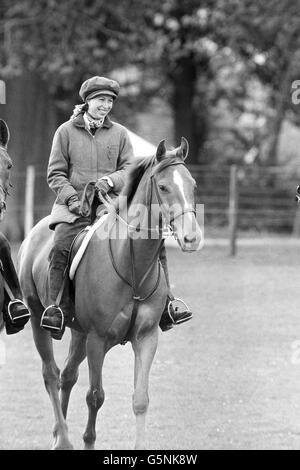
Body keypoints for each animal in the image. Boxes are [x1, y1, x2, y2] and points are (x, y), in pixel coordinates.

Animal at [17, 136, 203, 448]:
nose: (192, 238)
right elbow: (95, 396)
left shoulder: (146, 338)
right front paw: (88, 440)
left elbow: (140, 400)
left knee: (66, 376)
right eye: (164, 187)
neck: (132, 267)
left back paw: (58, 434)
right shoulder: (97, 339)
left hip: (78, 333)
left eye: (193, 185)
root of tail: (34, 232)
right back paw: (63, 437)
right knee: (51, 375)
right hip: (38, 320)